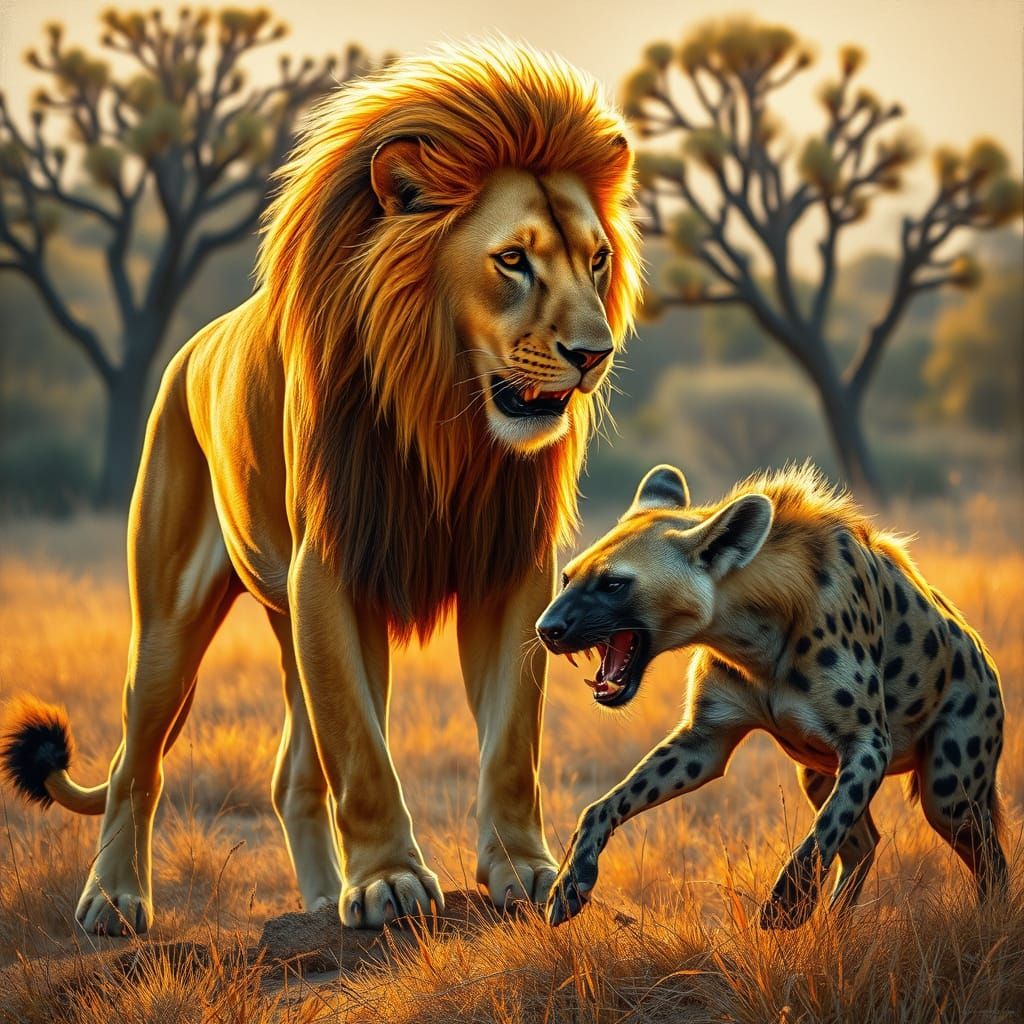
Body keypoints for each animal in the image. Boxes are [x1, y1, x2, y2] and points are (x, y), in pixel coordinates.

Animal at [0, 40, 641, 934]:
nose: (594, 354)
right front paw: (388, 883)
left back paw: (314, 901)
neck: (447, 422)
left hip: (283, 619)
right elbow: (362, 752)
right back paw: (116, 901)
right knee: (138, 763)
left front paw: (526, 871)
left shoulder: (511, 568)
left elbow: (512, 740)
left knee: (291, 775)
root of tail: (189, 349)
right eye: (513, 260)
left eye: (597, 260)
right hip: (167, 618)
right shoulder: (332, 568)